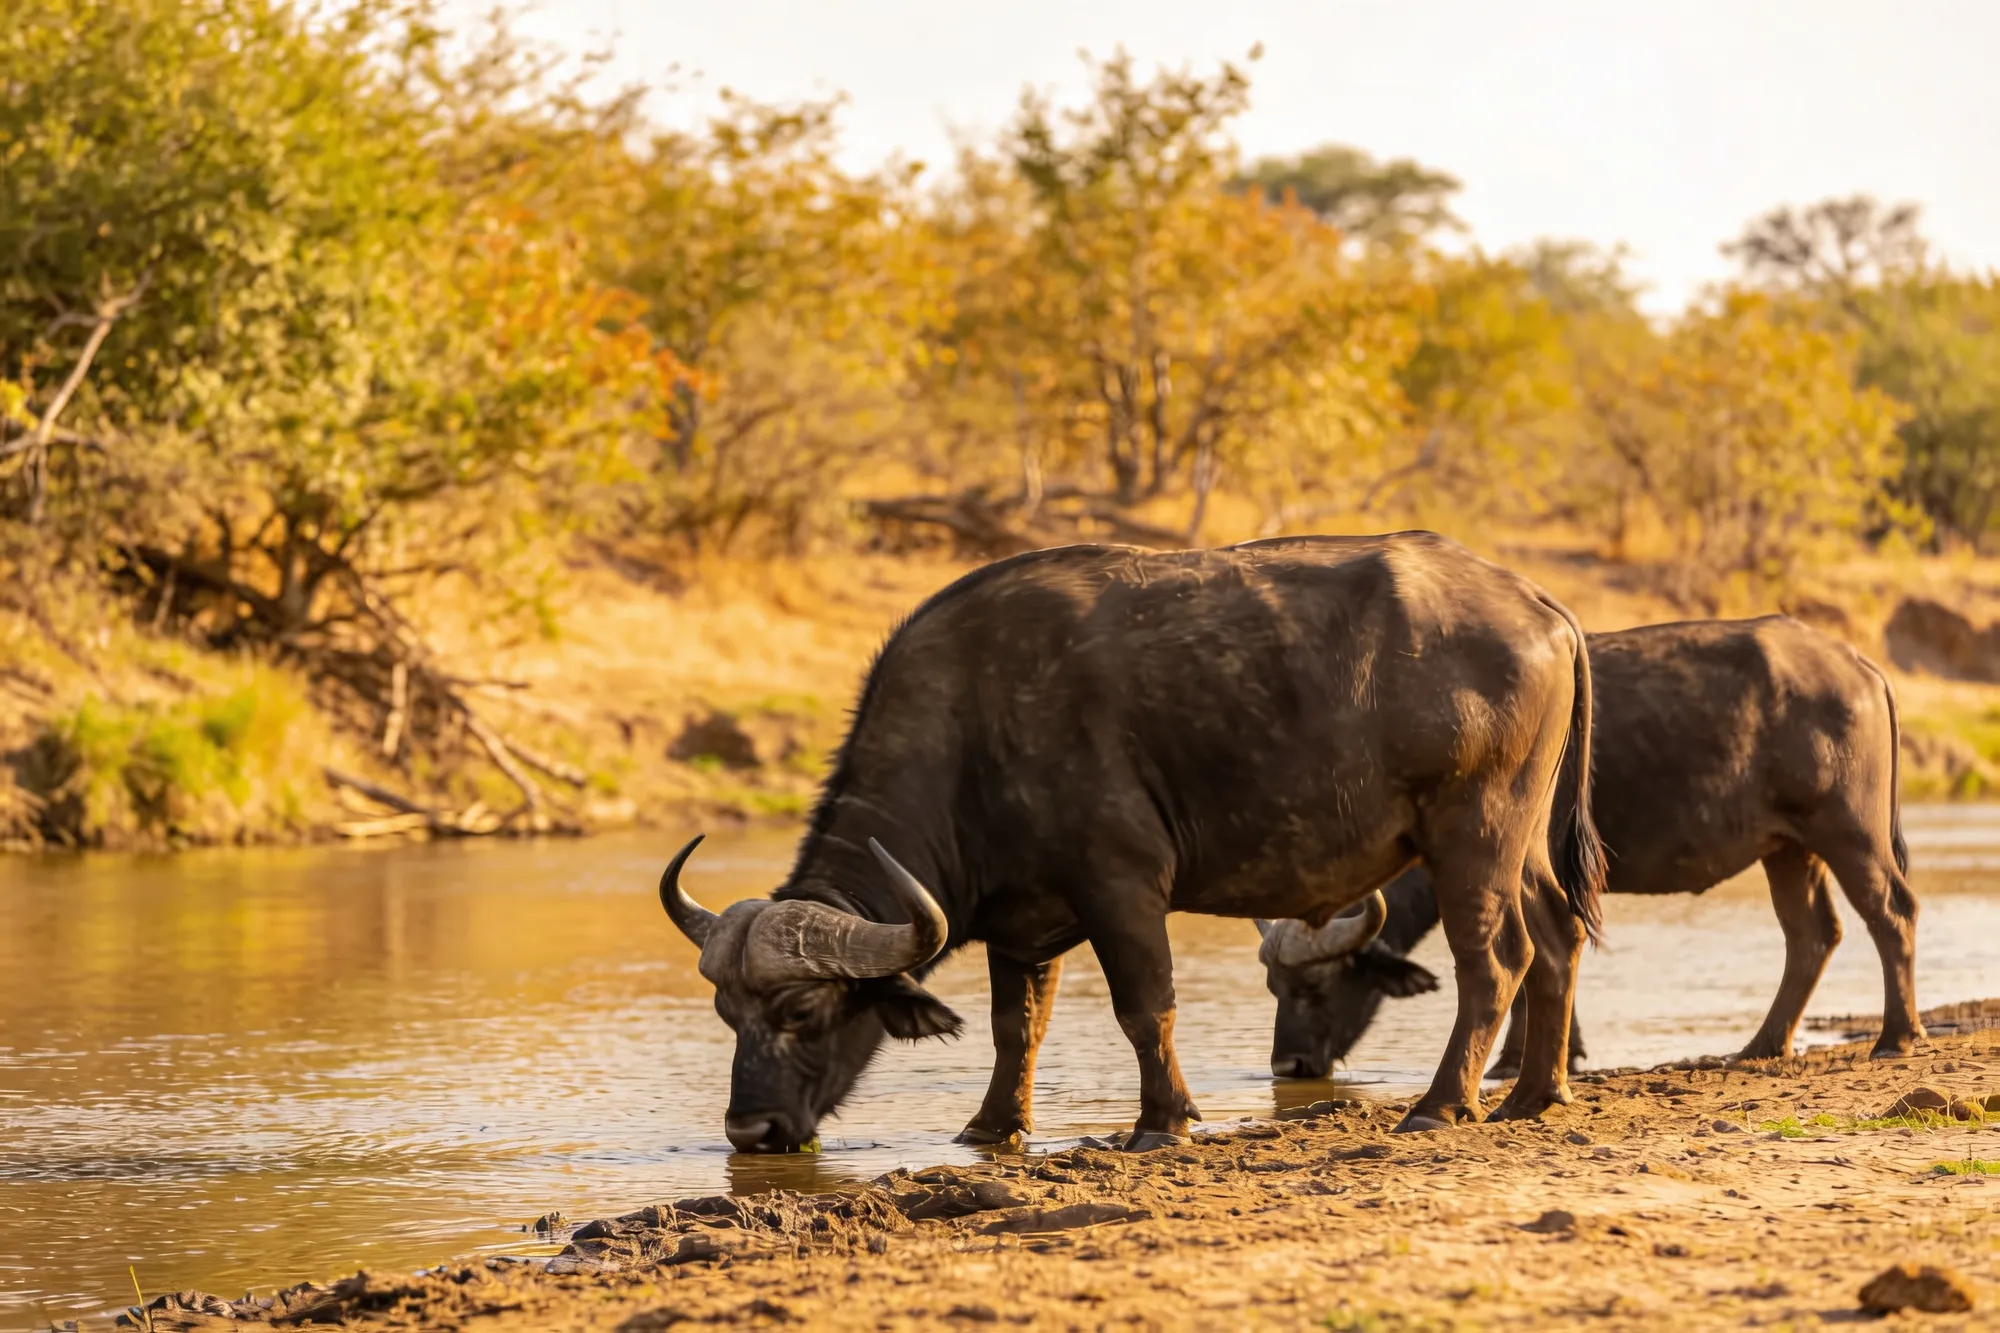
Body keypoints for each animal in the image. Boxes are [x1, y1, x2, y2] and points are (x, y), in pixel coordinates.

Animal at [660, 534, 1607, 1149]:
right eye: (726, 1013)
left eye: (801, 1010)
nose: (751, 1129)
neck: (973, 729)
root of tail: (1542, 608)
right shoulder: (1022, 923)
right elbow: (1016, 1027)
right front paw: (993, 1125)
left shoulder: (1120, 886)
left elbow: (1144, 1006)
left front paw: (1162, 1122)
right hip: (1522, 842)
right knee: (1558, 938)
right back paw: (1534, 1094)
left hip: (1471, 835)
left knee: (1495, 958)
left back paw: (1444, 1103)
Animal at [1260, 615, 1922, 1081]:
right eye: (1273, 987)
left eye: (1315, 988)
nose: (1288, 1067)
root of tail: (1859, 666)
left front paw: (1516, 1061)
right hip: (1788, 848)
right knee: (1812, 935)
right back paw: (1762, 1044)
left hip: (1849, 832)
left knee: (1892, 914)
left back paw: (1896, 1037)